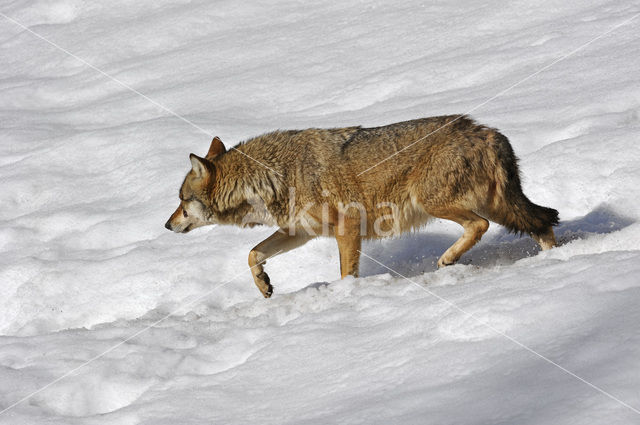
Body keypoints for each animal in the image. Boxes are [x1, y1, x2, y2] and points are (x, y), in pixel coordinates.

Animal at [164, 114, 556, 296]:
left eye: (182, 202)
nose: (167, 225)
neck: (272, 177)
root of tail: (489, 132)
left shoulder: (347, 227)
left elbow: (345, 273)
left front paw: (346, 298)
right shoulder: (299, 233)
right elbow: (252, 253)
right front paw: (264, 285)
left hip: (440, 203)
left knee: (482, 226)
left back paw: (447, 260)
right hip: (499, 206)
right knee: (543, 222)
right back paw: (552, 262)